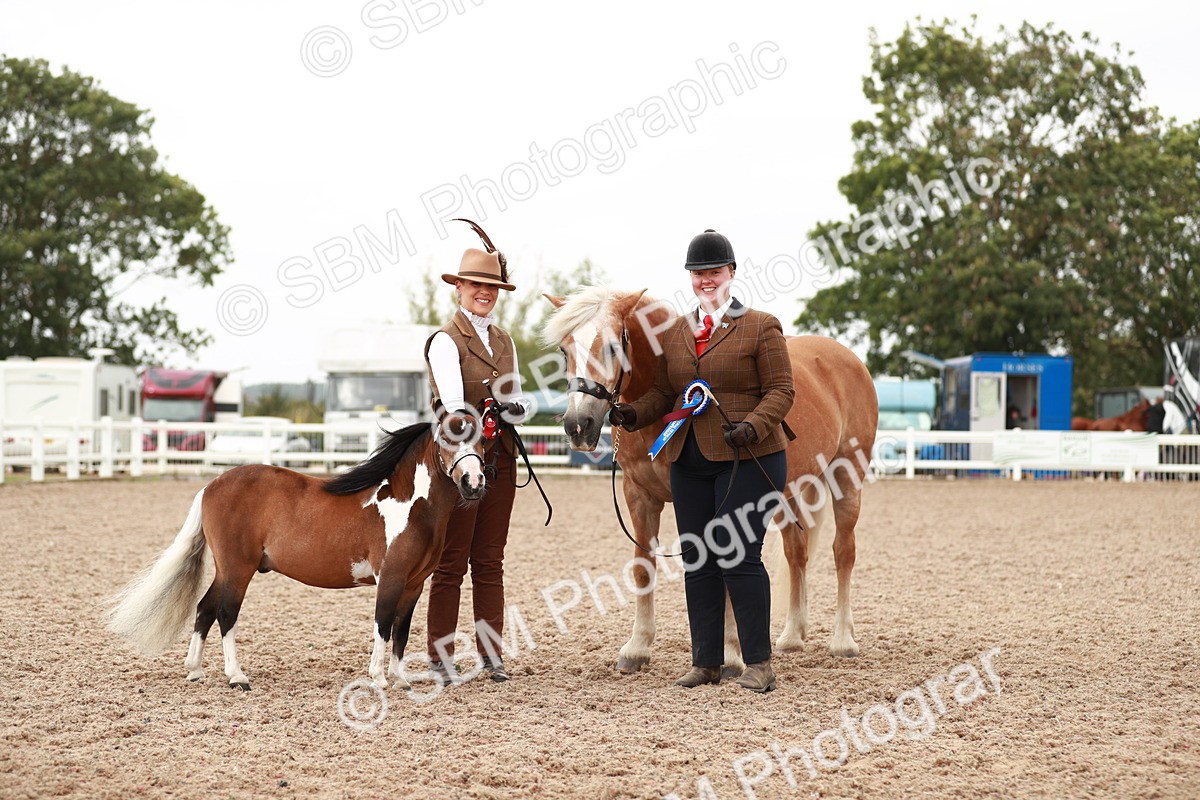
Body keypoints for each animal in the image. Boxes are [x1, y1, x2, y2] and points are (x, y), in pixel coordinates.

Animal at [104, 413, 487, 691]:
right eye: (447, 439)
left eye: (482, 439)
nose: (474, 482)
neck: (408, 504)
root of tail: (211, 485)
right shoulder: (390, 578)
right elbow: (382, 625)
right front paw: (379, 679)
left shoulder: (414, 584)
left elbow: (401, 631)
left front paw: (401, 679)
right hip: (237, 569)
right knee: (226, 613)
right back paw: (236, 677)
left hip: (227, 571)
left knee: (205, 608)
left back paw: (195, 670)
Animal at [542, 287, 878, 675]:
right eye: (564, 350)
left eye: (613, 347)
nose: (577, 425)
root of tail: (849, 360)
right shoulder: (639, 496)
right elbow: (643, 567)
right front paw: (637, 648)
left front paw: (732, 655)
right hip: (788, 491)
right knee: (797, 552)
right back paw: (793, 636)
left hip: (847, 476)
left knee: (843, 552)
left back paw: (843, 640)